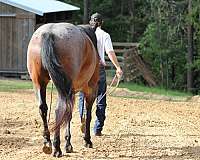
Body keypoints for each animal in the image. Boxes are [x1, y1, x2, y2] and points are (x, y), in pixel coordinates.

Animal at [27, 22, 99, 158]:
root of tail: (49, 32)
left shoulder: (70, 92)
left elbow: (69, 115)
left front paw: (68, 143)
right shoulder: (90, 90)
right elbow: (87, 115)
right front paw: (86, 140)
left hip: (39, 83)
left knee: (43, 108)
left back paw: (47, 142)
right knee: (59, 110)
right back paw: (57, 148)